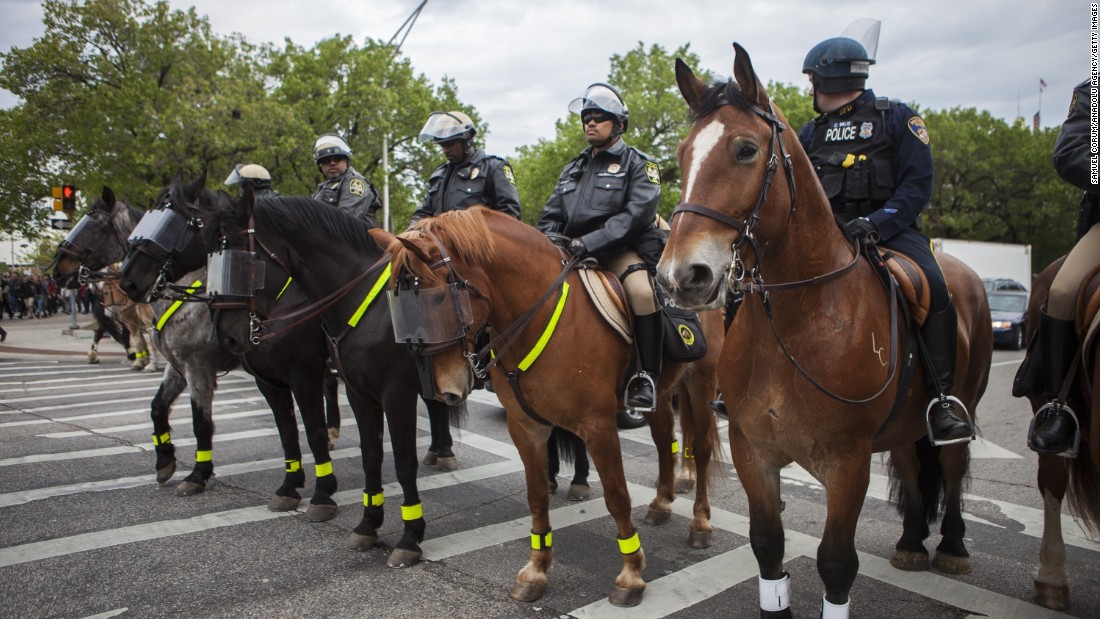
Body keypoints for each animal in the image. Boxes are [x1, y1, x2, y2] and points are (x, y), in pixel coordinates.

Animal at [391, 205, 726, 606]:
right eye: (400, 306)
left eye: (439, 298)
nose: (444, 388)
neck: (538, 316)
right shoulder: (526, 427)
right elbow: (537, 497)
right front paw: (536, 570)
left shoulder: (598, 426)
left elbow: (617, 496)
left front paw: (630, 574)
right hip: (661, 394)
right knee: (664, 442)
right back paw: (661, 504)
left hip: (701, 381)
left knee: (701, 449)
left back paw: (701, 523)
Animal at [651, 45, 998, 615]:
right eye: (681, 155)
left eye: (746, 149)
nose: (680, 277)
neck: (799, 317)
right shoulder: (754, 451)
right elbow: (768, 546)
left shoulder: (847, 462)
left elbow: (836, 562)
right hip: (903, 429)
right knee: (911, 464)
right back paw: (910, 541)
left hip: (959, 406)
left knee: (950, 466)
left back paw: (950, 546)